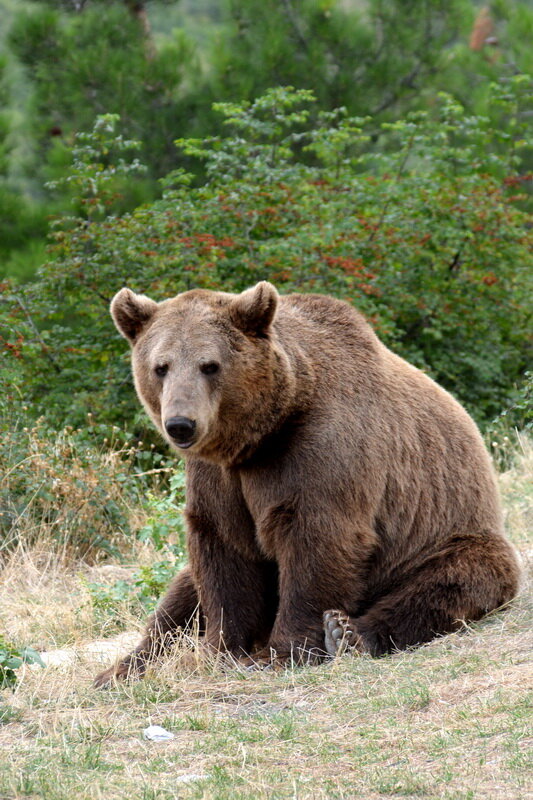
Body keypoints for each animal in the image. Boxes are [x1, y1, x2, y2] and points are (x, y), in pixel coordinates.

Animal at [92, 282, 520, 688]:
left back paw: (347, 633)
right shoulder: (218, 476)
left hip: (441, 536)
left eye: (210, 365)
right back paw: (122, 669)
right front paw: (221, 649)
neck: (261, 437)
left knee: (451, 581)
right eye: (160, 366)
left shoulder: (320, 449)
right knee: (179, 597)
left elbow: (318, 541)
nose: (181, 424)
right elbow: (222, 553)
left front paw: (279, 653)